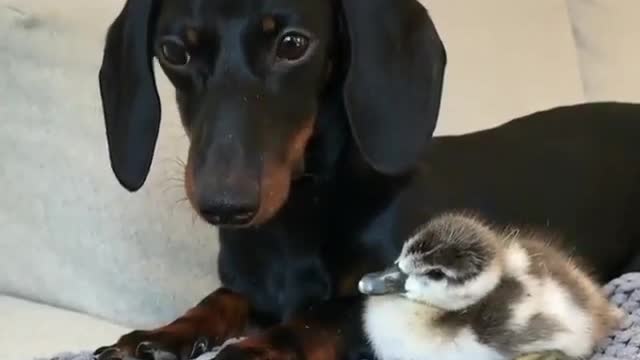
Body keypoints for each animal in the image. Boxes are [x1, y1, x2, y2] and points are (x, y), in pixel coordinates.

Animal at [94, 0, 640, 360]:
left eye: (292, 44)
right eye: (174, 51)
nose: (224, 204)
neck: (298, 219)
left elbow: (315, 320)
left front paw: (248, 351)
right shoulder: (254, 289)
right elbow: (220, 298)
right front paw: (160, 336)